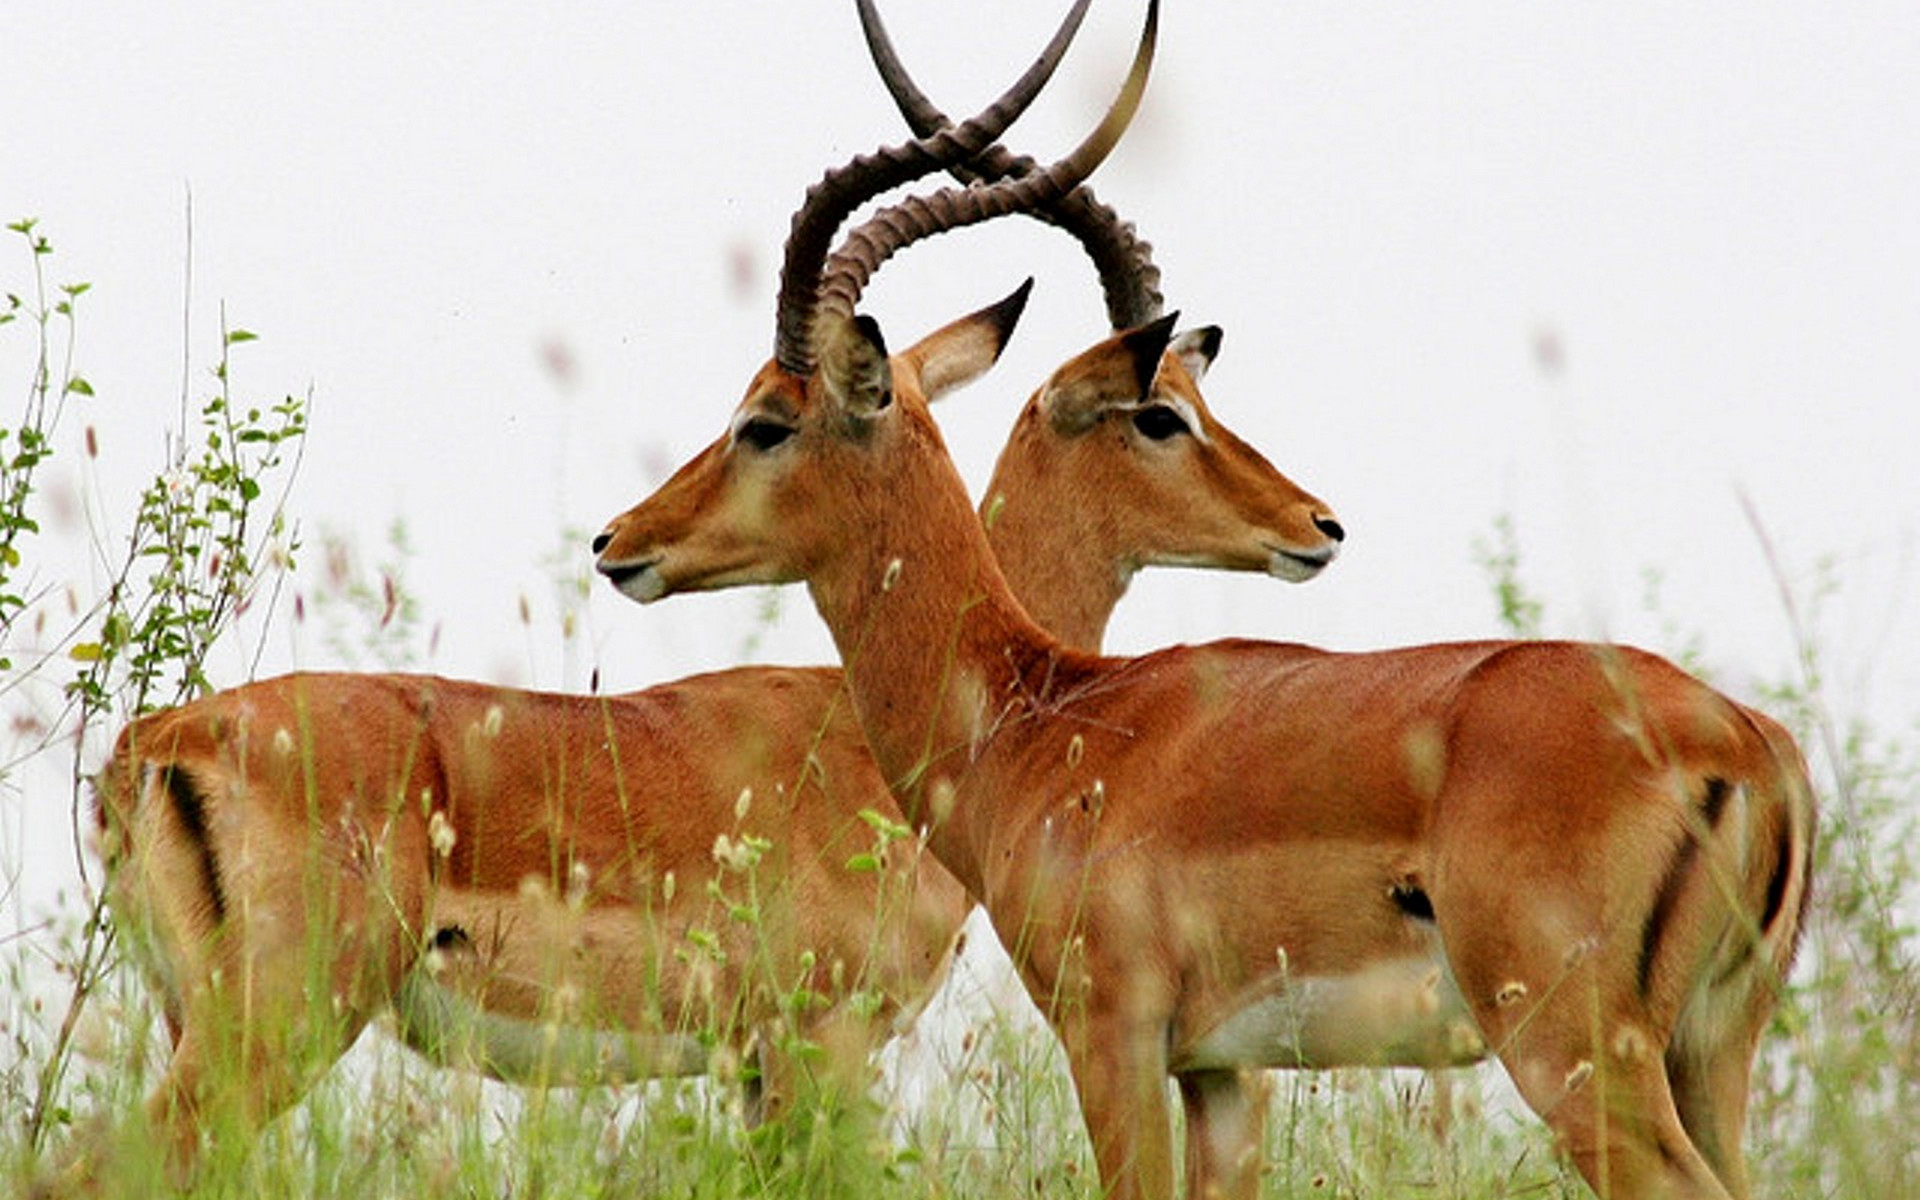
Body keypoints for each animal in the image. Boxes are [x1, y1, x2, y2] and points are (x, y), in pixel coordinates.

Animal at [71, 2, 1351, 1190]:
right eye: (1159, 415)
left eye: (764, 420)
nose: (1318, 526)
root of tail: (154, 743)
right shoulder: (816, 1043)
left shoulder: (753, 1063)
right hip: (270, 1030)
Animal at [595, 16, 1812, 1198]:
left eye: (764, 421)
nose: (618, 543)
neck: (1041, 715)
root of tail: (1747, 743)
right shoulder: (1219, 1072)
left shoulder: (1113, 1037)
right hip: (1710, 1055)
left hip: (1574, 1052)